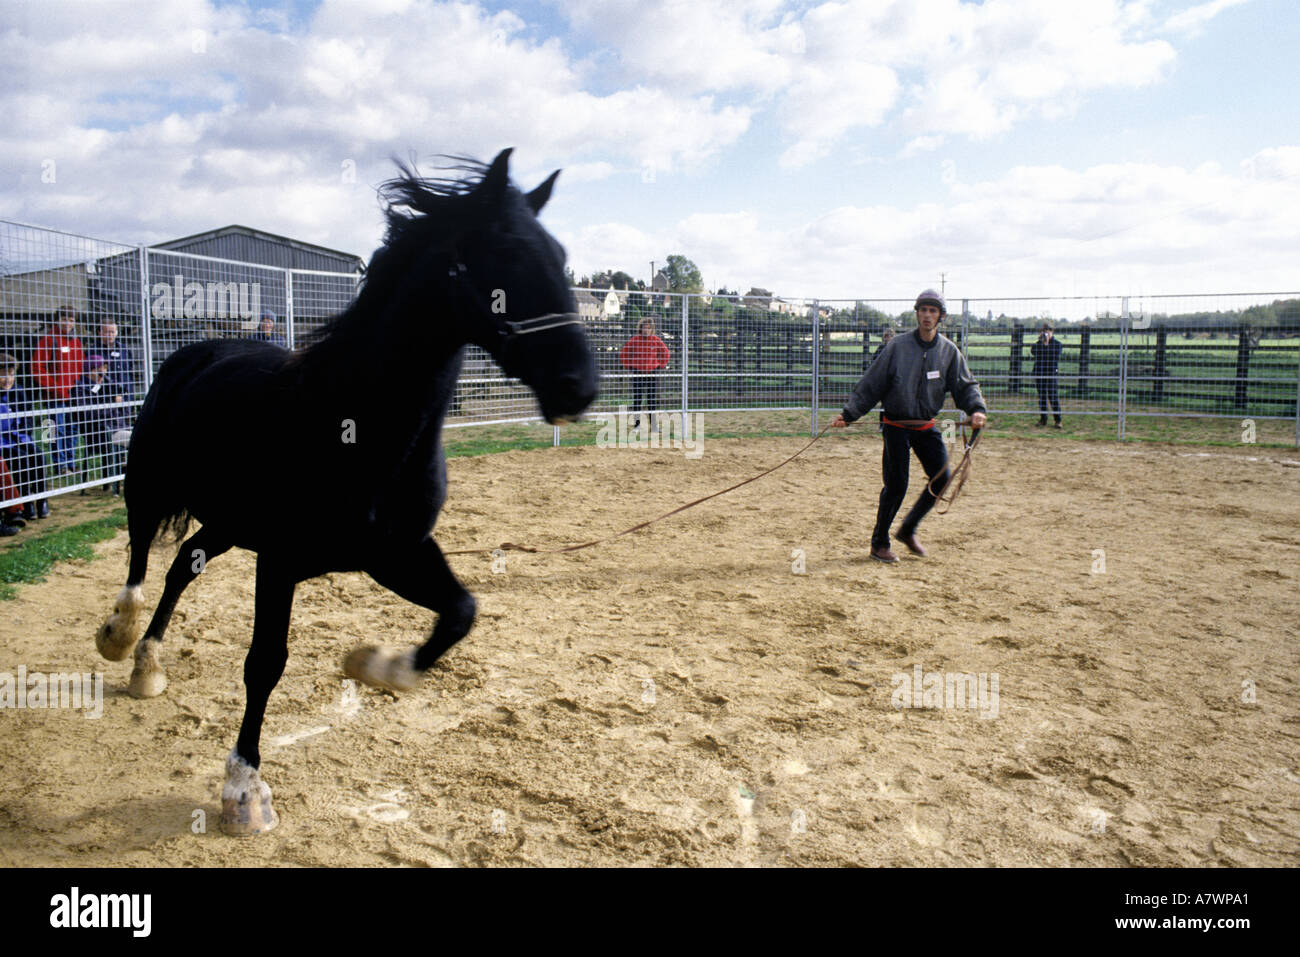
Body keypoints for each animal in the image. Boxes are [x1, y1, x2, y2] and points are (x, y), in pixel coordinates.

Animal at [93, 148, 599, 835]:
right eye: (507, 252)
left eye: (561, 254)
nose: (579, 386)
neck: (354, 424)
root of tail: (195, 352)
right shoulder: (280, 562)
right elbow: (264, 663)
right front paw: (244, 791)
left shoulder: (396, 552)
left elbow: (461, 612)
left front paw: (374, 665)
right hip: (150, 485)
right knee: (142, 557)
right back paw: (120, 638)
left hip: (227, 524)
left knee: (181, 567)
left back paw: (149, 665)